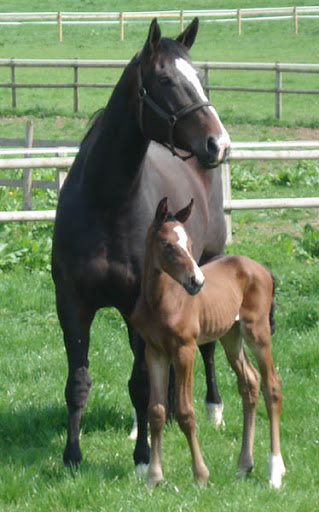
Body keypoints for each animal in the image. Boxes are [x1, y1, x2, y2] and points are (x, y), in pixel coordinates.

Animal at [51, 17, 230, 472]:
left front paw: (144, 459)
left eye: (199, 77)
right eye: (165, 79)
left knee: (206, 348)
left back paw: (213, 409)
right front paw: (72, 455)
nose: (218, 144)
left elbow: (139, 382)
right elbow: (78, 381)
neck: (106, 201)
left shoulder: (134, 302)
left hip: (209, 260)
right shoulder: (72, 303)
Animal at [131, 196, 286, 488]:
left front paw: (201, 475)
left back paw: (275, 471)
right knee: (249, 383)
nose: (196, 282)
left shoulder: (185, 350)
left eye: (191, 243)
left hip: (257, 332)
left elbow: (185, 412)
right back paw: (243, 466)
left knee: (271, 386)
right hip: (231, 336)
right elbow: (156, 411)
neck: (161, 301)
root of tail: (262, 268)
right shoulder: (154, 352)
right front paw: (153, 478)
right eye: (167, 244)